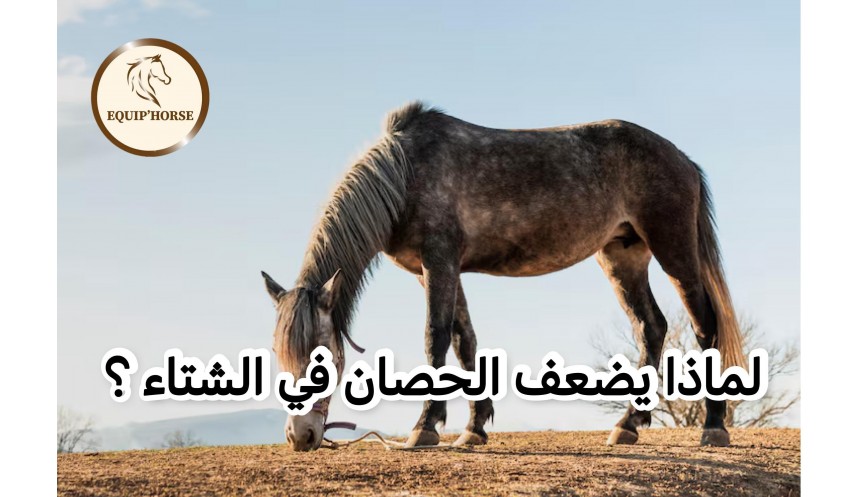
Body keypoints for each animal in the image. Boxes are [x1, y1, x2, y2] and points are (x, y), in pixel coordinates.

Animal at [262, 101, 745, 451]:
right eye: (281, 358)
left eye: (323, 360)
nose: (300, 437)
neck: (406, 174)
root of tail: (682, 159)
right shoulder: (436, 271)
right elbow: (465, 343)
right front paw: (473, 429)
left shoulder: (439, 262)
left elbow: (435, 338)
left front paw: (425, 427)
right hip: (622, 258)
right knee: (652, 327)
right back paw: (629, 424)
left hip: (674, 250)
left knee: (704, 325)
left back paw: (713, 427)